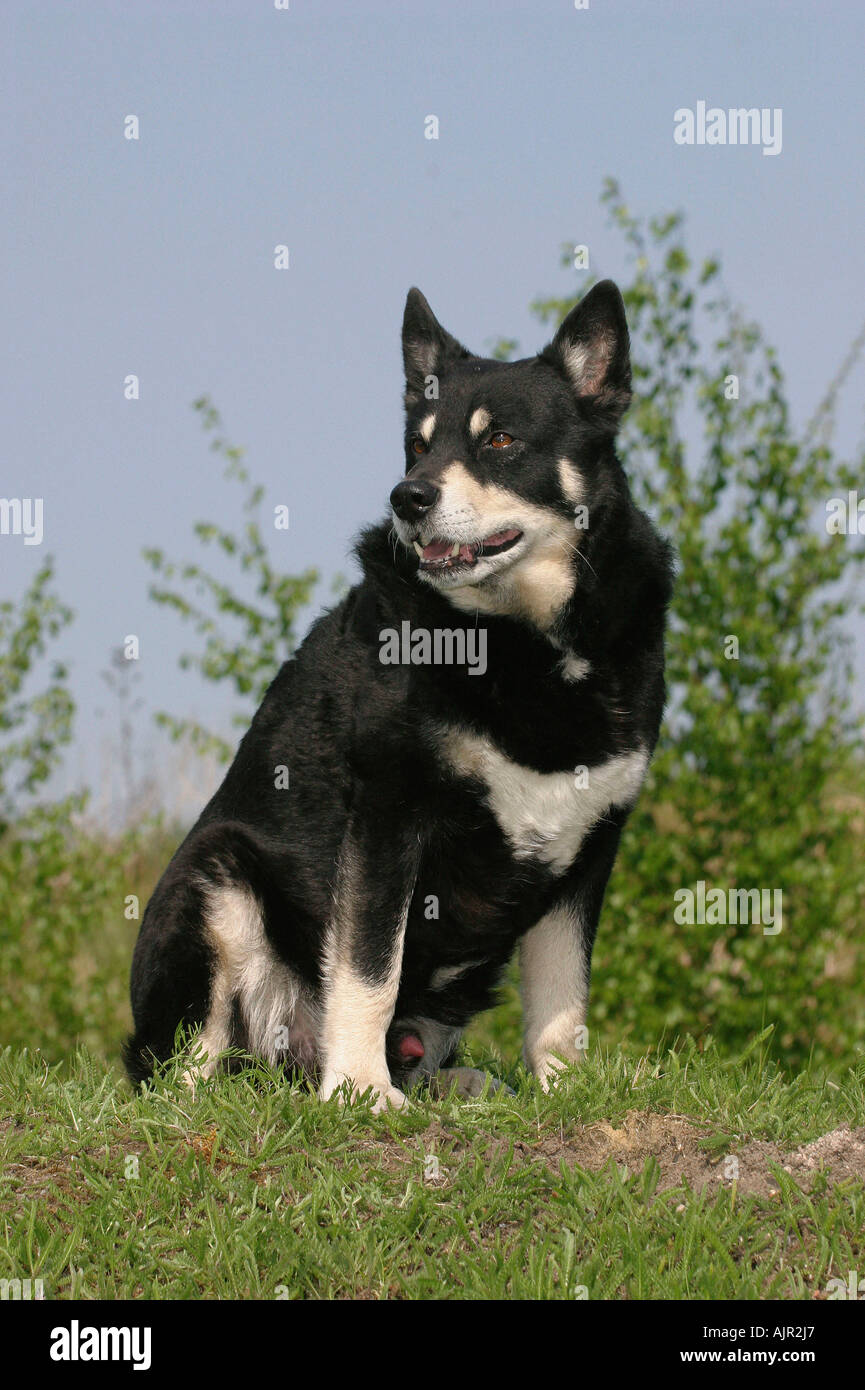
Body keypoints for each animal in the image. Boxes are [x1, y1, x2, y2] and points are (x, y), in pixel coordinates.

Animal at [125, 279, 675, 1106]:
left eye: (499, 440)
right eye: (418, 444)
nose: (407, 497)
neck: (517, 641)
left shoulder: (589, 843)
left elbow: (561, 996)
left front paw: (562, 1088)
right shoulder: (389, 814)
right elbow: (367, 967)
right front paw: (357, 1088)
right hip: (216, 880)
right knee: (186, 1065)